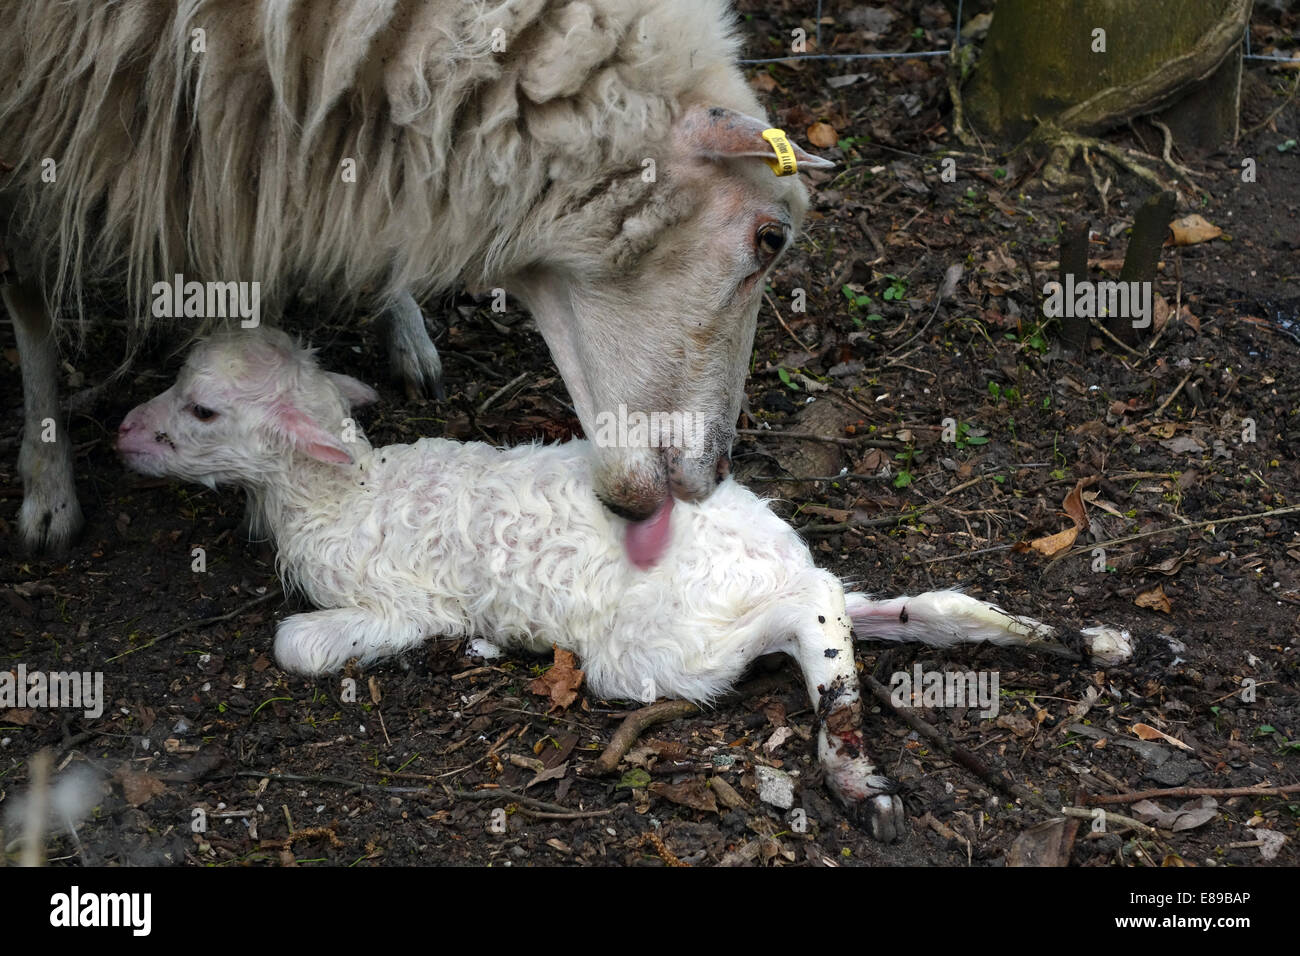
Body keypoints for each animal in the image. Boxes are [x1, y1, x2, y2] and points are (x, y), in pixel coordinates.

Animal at [114, 327, 1066, 837]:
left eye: (202, 411)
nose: (121, 433)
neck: (337, 493)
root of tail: (772, 555)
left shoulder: (406, 604)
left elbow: (297, 643)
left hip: (656, 646)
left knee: (816, 610)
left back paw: (857, 775)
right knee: (870, 603)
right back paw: (1072, 637)